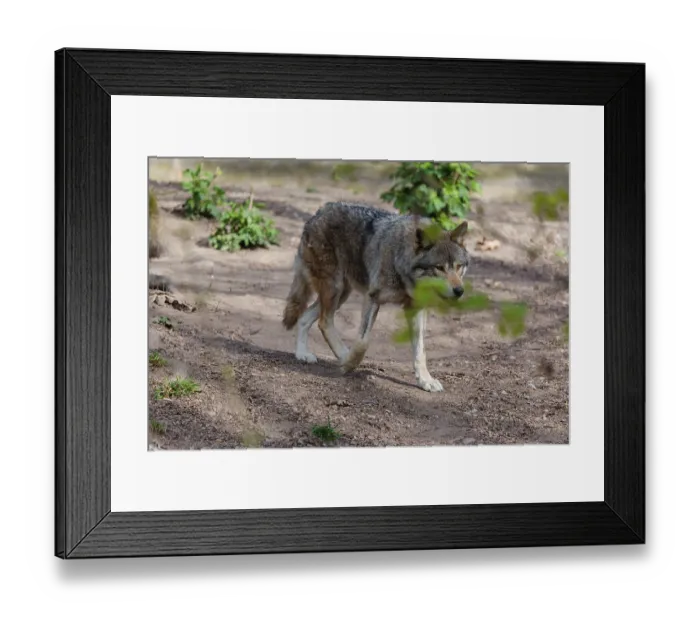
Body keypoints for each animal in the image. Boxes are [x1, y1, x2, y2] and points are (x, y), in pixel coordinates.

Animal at [282, 201, 471, 392]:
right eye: (439, 268)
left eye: (458, 266)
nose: (459, 290)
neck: (400, 261)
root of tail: (319, 212)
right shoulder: (372, 298)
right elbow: (363, 342)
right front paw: (348, 364)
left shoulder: (416, 307)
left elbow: (420, 351)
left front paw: (426, 380)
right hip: (334, 289)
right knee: (324, 322)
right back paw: (343, 355)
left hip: (341, 295)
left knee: (305, 317)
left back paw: (303, 354)